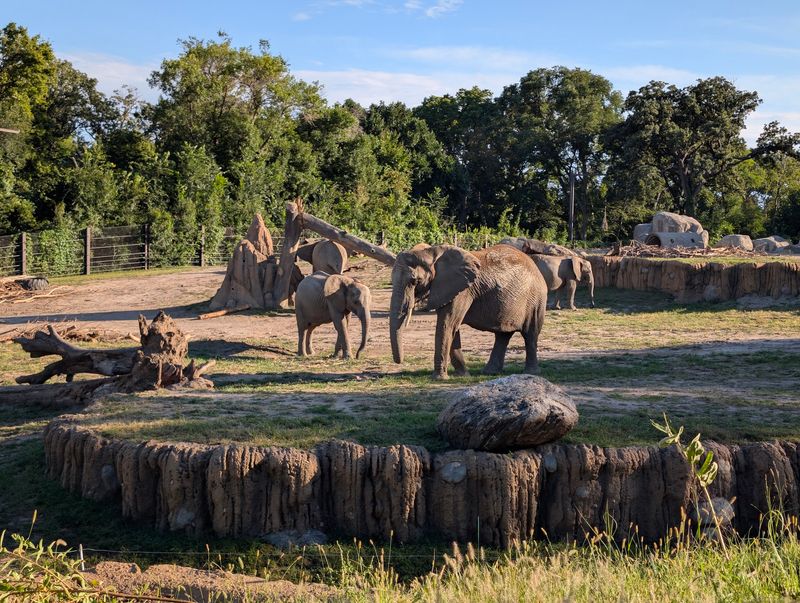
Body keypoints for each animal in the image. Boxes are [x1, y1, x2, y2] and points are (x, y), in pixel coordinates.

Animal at [389, 244, 548, 380]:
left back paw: (531, 372)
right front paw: (463, 375)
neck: (432, 251)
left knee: (530, 334)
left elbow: (447, 325)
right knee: (503, 335)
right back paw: (490, 372)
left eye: (415, 281)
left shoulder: (463, 290)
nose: (400, 362)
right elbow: (451, 327)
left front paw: (439, 378)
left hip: (535, 300)